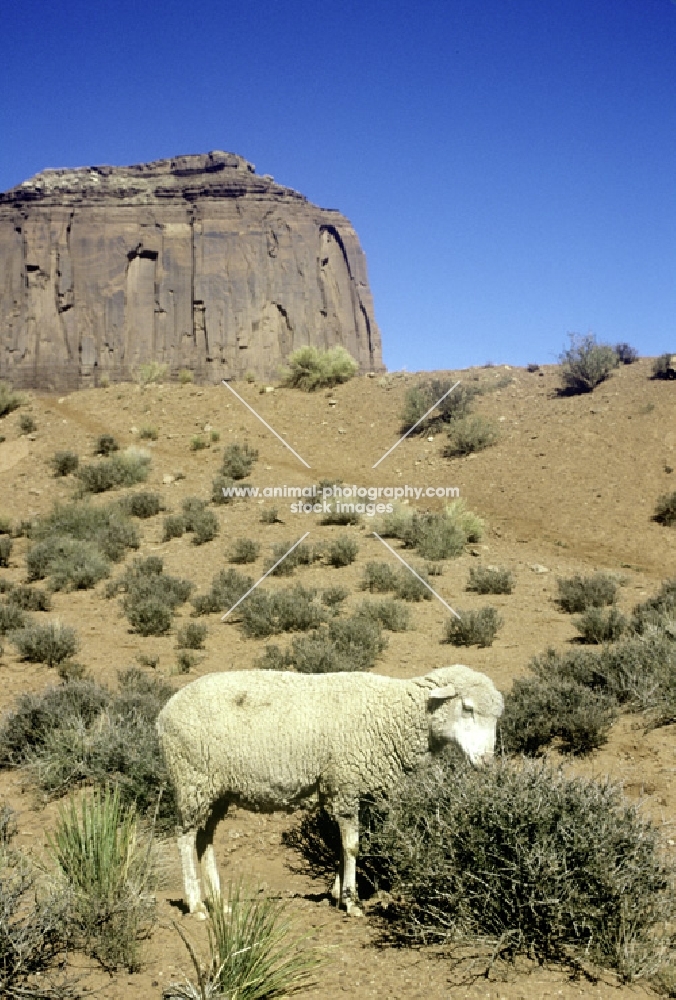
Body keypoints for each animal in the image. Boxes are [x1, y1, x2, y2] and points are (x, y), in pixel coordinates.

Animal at [157, 668, 502, 916]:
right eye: (467, 708)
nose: (486, 760)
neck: (394, 715)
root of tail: (163, 713)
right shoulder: (346, 785)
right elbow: (352, 847)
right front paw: (351, 901)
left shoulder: (353, 789)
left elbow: (343, 844)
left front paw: (337, 892)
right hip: (192, 780)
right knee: (185, 838)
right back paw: (196, 904)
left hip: (216, 790)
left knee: (204, 838)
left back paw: (219, 901)